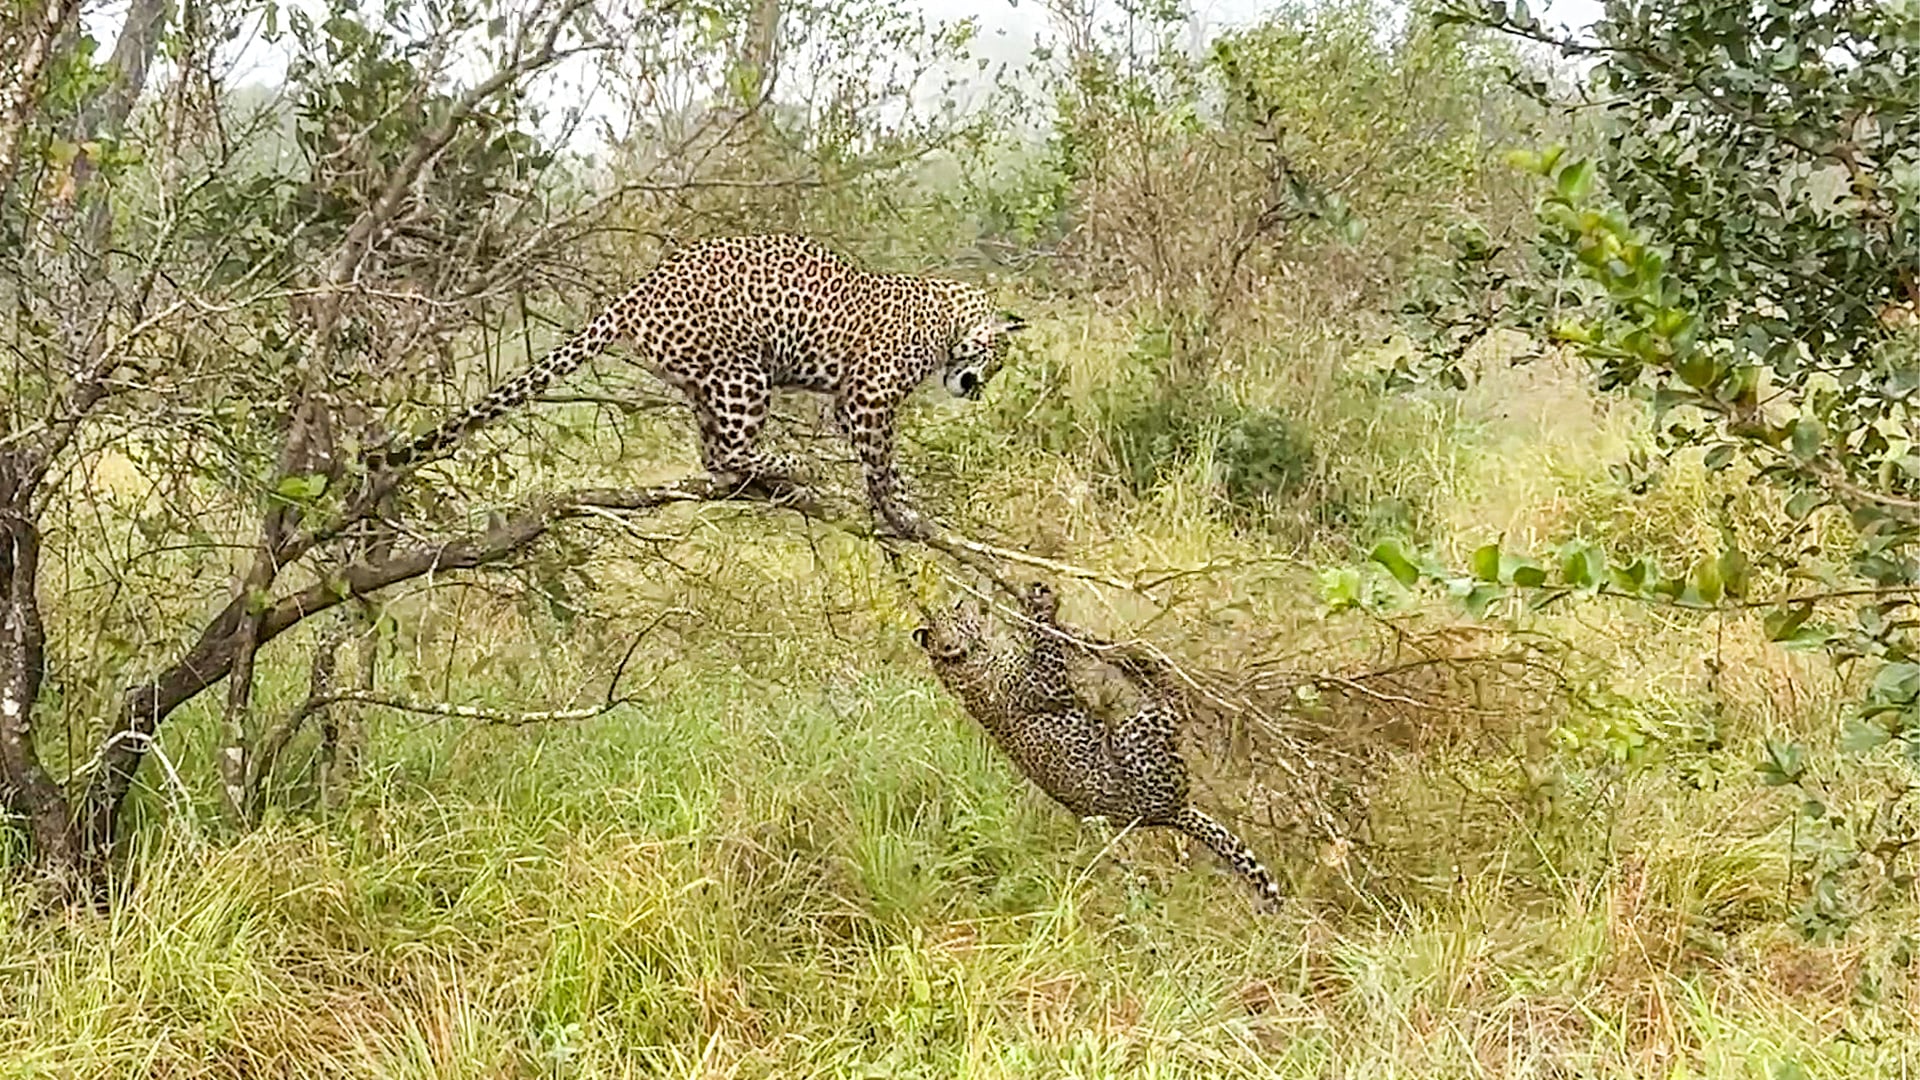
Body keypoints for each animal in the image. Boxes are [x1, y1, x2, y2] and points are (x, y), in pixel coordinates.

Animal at [370, 234, 1026, 536]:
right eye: (995, 360)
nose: (978, 389)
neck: (948, 321)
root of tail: (637, 290)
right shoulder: (868, 397)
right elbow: (884, 462)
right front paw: (899, 508)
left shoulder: (849, 403)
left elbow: (883, 461)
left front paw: (903, 505)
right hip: (744, 371)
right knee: (730, 449)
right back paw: (790, 463)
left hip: (706, 380)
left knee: (711, 454)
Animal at [913, 580, 1284, 908]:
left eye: (956, 611)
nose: (969, 602)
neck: (964, 663)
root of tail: (1173, 812)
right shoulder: (1046, 687)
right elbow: (1046, 643)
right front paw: (1042, 607)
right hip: (1137, 741)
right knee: (1170, 710)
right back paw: (1152, 669)